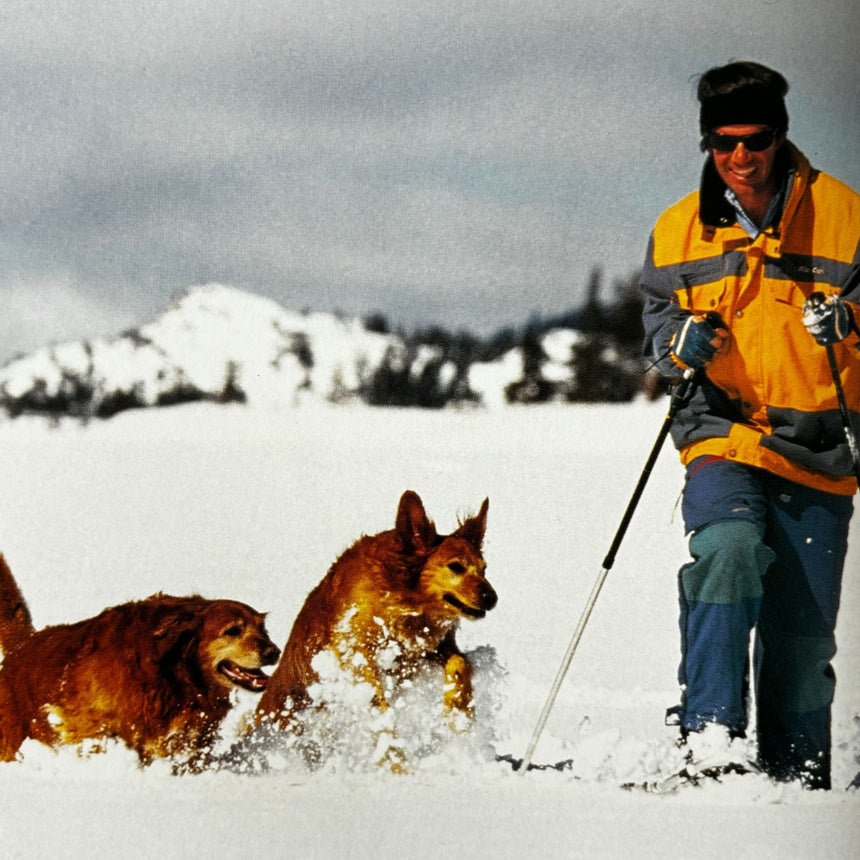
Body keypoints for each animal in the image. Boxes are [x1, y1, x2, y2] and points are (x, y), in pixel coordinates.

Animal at [254, 490, 498, 760]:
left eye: (484, 569)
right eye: (456, 567)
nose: (492, 598)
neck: (402, 599)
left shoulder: (431, 648)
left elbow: (460, 663)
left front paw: (459, 711)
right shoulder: (355, 653)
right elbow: (377, 705)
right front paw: (394, 759)